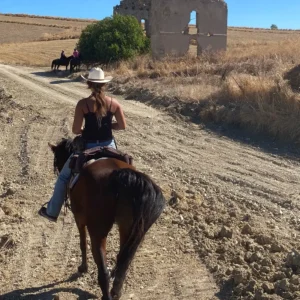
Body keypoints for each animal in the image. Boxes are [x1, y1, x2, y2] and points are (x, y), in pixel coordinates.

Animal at [49, 139, 166, 300]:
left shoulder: (79, 219)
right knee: (123, 261)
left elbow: (82, 243)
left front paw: (83, 268)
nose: (57, 170)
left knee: (103, 268)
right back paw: (116, 291)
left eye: (56, 159)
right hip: (130, 231)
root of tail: (121, 175)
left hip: (98, 232)